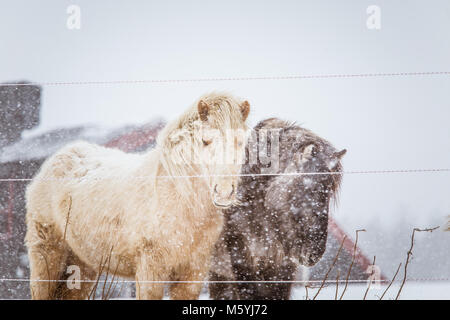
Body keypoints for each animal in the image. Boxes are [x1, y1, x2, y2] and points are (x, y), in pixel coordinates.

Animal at [25, 93, 250, 300]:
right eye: (205, 141)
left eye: (240, 143)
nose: (224, 192)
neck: (181, 198)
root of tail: (56, 159)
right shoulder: (150, 268)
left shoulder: (192, 273)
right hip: (47, 254)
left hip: (82, 264)